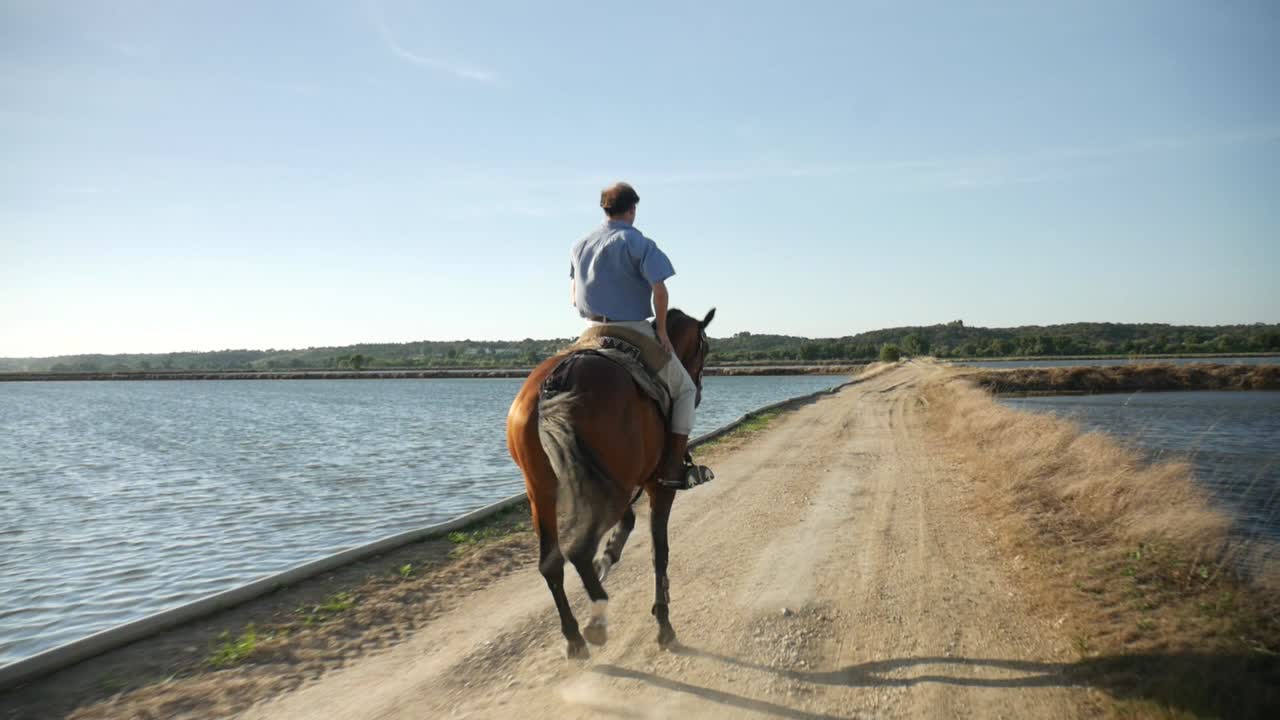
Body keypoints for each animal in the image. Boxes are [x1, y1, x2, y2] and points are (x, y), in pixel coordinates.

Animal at [506, 307, 715, 659]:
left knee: (551, 564)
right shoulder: (658, 486)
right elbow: (660, 550)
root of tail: (559, 380)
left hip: (544, 493)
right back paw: (597, 619)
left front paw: (608, 556)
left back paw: (575, 636)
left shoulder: (612, 485)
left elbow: (628, 524)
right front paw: (664, 623)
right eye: (706, 348)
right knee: (578, 551)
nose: (698, 390)